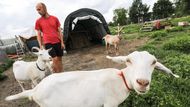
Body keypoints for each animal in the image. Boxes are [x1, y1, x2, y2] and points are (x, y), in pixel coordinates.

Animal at [5, 50, 178, 107]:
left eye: (154, 62)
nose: (142, 82)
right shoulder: (109, 104)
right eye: (128, 60)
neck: (121, 80)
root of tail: (35, 90)